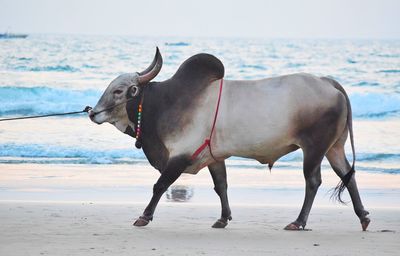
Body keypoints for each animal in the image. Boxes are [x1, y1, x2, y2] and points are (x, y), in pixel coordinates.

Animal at [89, 47, 370, 230]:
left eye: (119, 91)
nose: (92, 112)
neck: (164, 103)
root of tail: (329, 83)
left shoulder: (179, 156)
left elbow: (159, 186)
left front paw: (144, 217)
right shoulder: (214, 157)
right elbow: (221, 186)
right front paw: (223, 219)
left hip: (314, 147)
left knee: (313, 181)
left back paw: (299, 222)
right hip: (334, 147)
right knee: (348, 174)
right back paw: (363, 217)